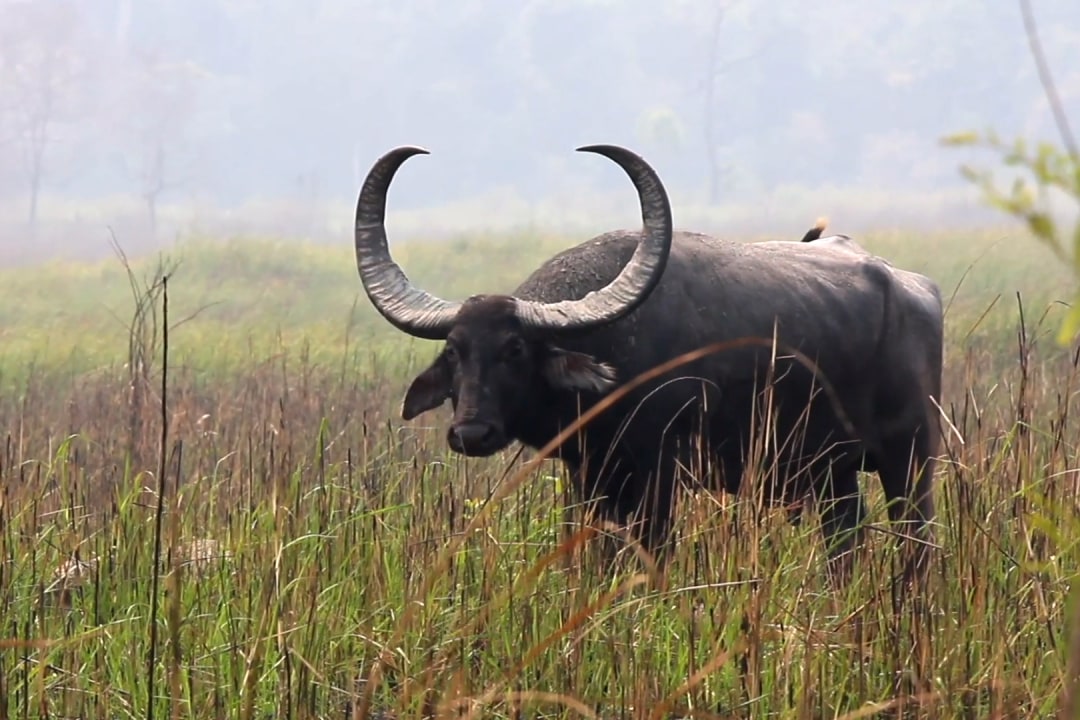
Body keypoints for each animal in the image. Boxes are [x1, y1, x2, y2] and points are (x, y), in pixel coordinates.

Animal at [352, 144, 943, 586]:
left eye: (515, 349)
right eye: (455, 350)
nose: (471, 432)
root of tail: (914, 287)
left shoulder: (662, 473)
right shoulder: (589, 478)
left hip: (911, 460)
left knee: (915, 542)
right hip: (833, 475)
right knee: (846, 542)